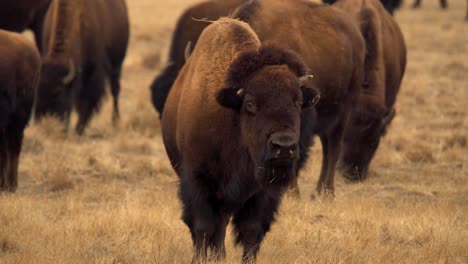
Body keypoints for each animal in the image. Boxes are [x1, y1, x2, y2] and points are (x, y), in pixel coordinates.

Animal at [34, 0, 130, 134]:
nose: (42, 121)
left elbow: (87, 101)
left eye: (58, 92)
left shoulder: (93, 72)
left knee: (115, 90)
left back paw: (115, 121)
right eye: (37, 90)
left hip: (117, 64)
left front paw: (79, 128)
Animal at [163, 18, 320, 262]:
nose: (284, 147)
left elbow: (251, 230)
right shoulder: (197, 180)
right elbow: (202, 226)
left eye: (298, 100)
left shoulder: (261, 191)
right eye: (250, 104)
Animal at [232, 0, 368, 196]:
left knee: (334, 147)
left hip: (344, 110)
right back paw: (319, 191)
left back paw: (327, 192)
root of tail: (356, 36)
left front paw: (291, 192)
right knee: (327, 148)